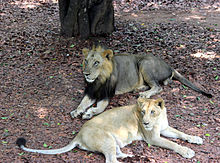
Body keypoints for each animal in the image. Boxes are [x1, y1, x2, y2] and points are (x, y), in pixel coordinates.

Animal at [16, 97, 203, 162]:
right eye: (142, 112)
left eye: (152, 112)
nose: (145, 122)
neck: (158, 121)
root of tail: (78, 135)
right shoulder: (152, 137)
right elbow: (173, 144)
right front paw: (187, 151)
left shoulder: (164, 129)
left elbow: (181, 133)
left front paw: (196, 138)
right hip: (107, 139)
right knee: (111, 160)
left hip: (114, 142)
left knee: (116, 156)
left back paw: (130, 156)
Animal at [70, 46, 211, 119]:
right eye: (86, 61)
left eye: (96, 62)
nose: (86, 74)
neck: (98, 80)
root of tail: (169, 65)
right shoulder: (91, 92)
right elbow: (82, 102)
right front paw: (77, 111)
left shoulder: (106, 96)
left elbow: (100, 108)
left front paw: (89, 113)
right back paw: (139, 89)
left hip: (144, 63)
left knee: (158, 86)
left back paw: (145, 94)